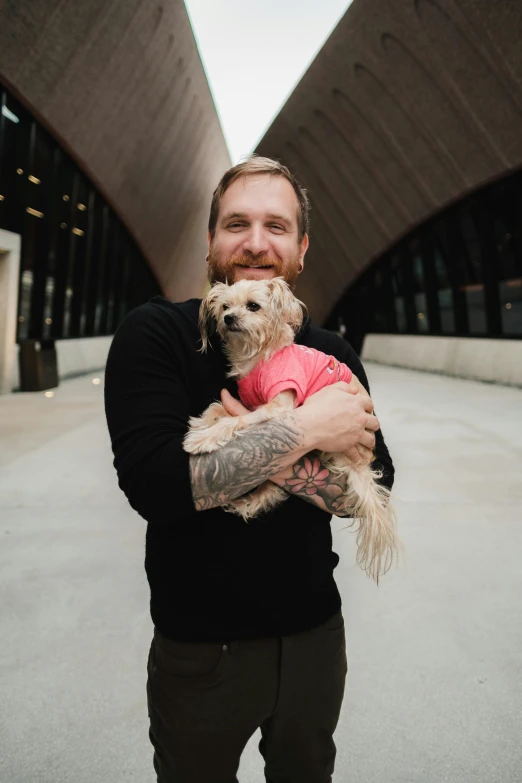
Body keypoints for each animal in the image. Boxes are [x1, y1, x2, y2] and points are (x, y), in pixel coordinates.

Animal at [183, 278, 398, 580]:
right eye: (225, 306)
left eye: (253, 306)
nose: (228, 318)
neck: (260, 356)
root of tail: (361, 464)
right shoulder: (253, 404)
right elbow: (219, 408)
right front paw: (203, 422)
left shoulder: (279, 408)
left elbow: (235, 420)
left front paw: (203, 438)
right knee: (276, 489)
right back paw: (248, 503)